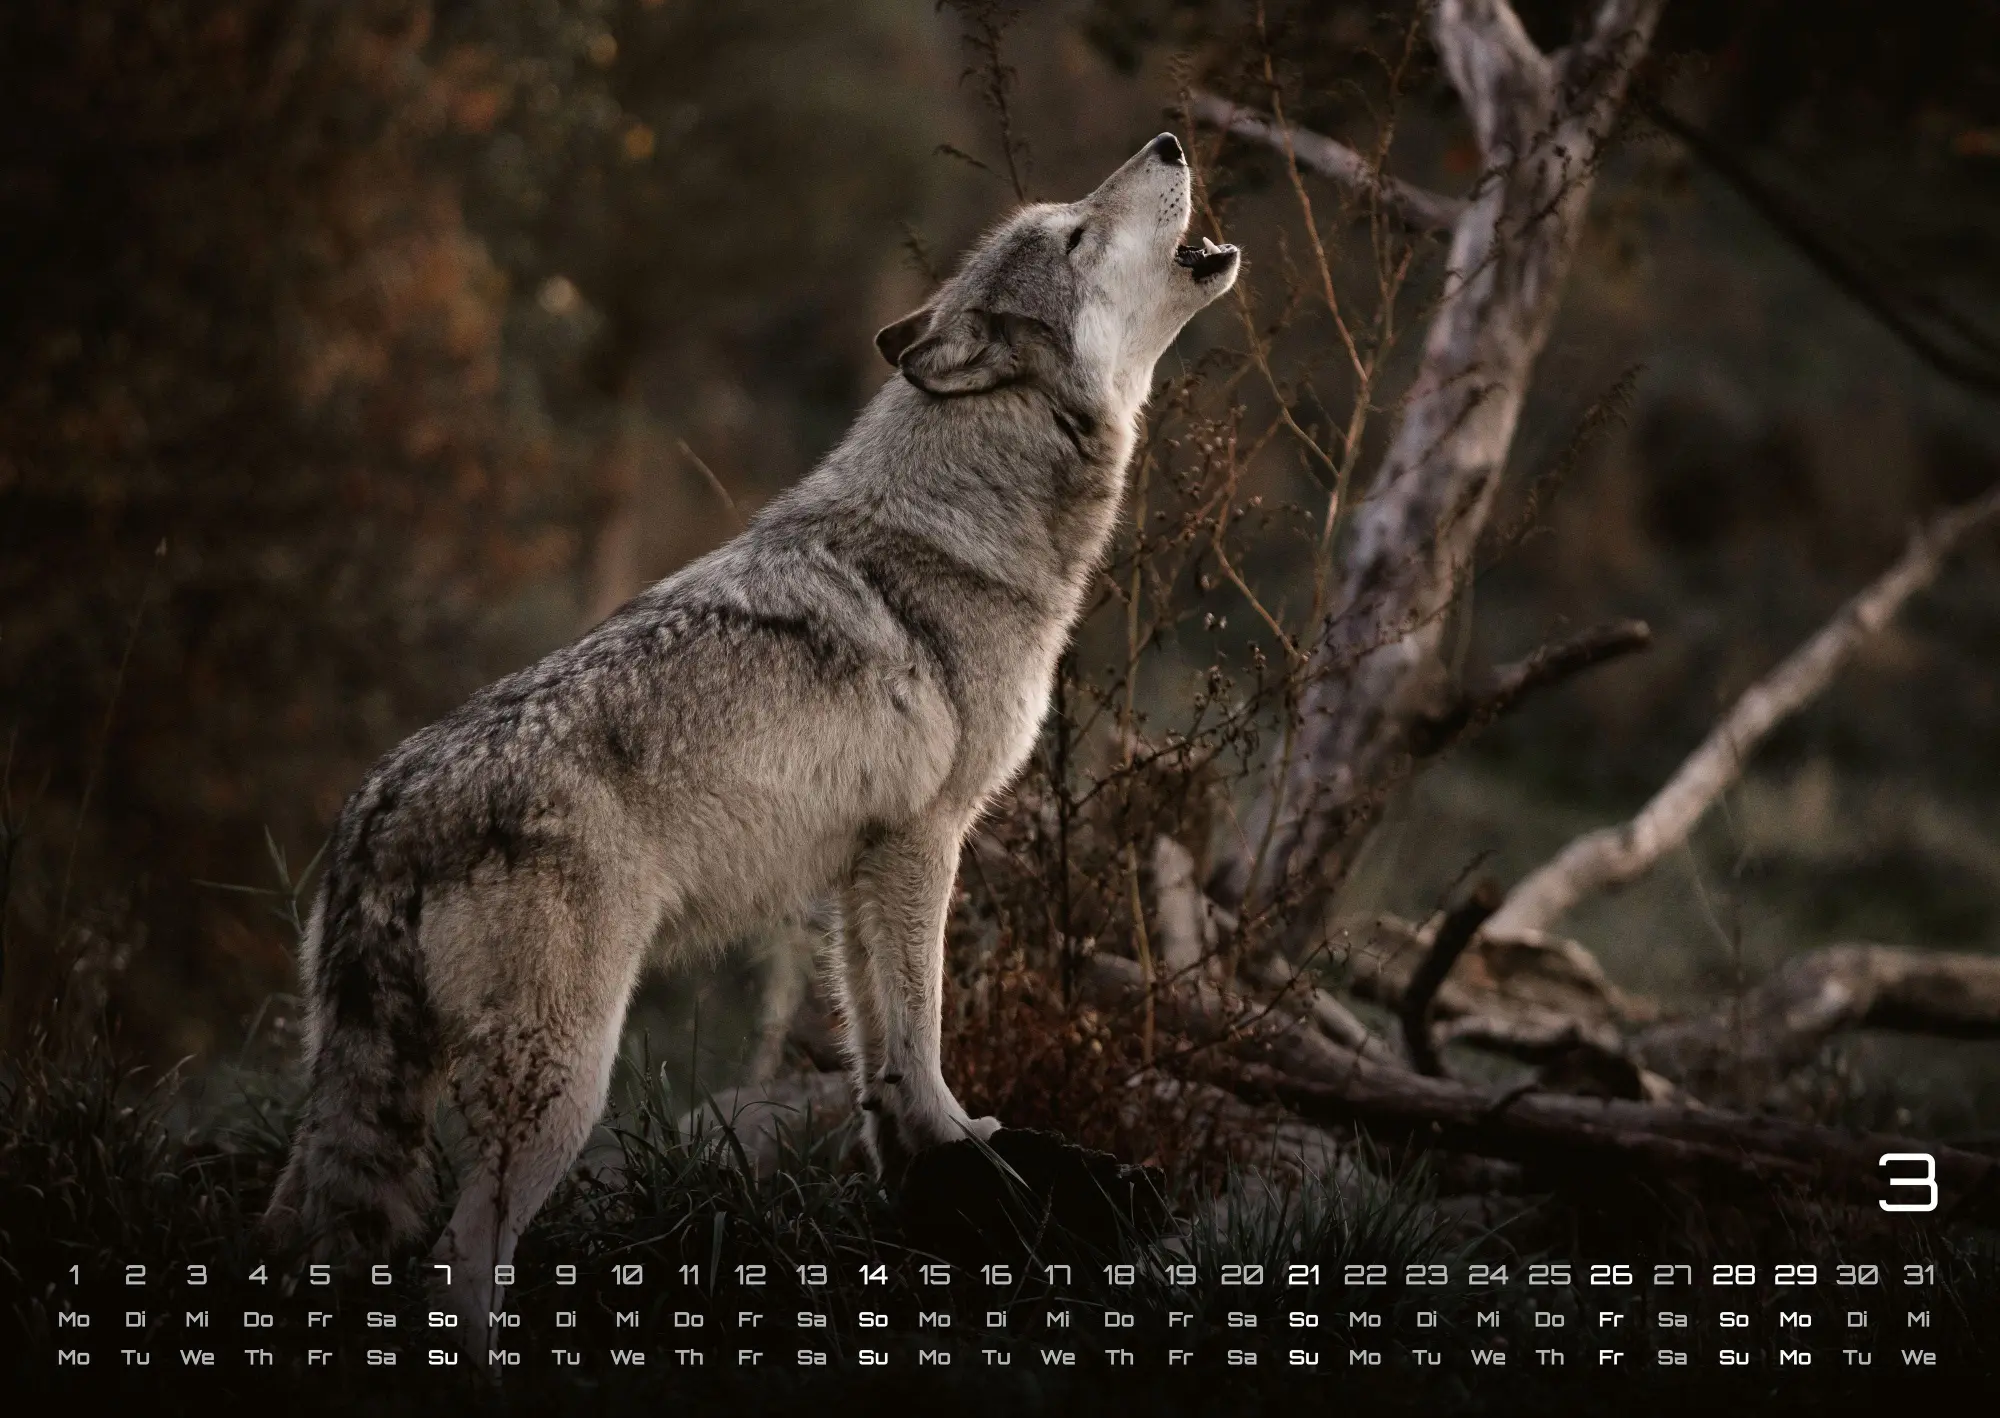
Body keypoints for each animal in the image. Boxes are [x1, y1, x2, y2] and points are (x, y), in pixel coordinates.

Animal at [264, 133, 1239, 1338]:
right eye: (1074, 233)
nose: (1168, 141)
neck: (969, 522)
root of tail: (382, 811)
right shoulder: (927, 838)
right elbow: (923, 1025)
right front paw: (965, 1141)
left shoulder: (861, 865)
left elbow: (877, 1045)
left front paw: (922, 1160)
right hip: (564, 1086)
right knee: (459, 1260)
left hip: (357, 1095)